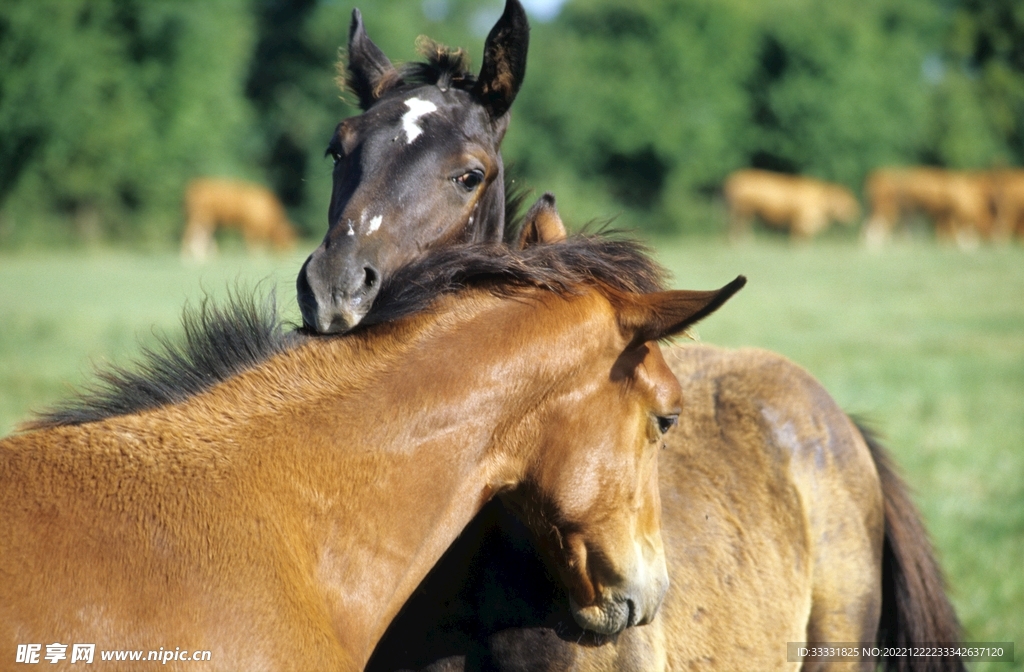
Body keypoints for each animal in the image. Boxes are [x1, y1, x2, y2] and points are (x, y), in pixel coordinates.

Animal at [724, 169, 861, 240]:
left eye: (850, 199)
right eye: (846, 201)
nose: (856, 213)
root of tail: (733, 179)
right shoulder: (799, 222)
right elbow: (797, 240)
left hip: (745, 213)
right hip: (742, 211)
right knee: (738, 227)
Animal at [863, 167, 993, 248]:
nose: (992, 241)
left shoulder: (942, 213)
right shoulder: (945, 213)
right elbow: (950, 229)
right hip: (887, 209)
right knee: (879, 224)